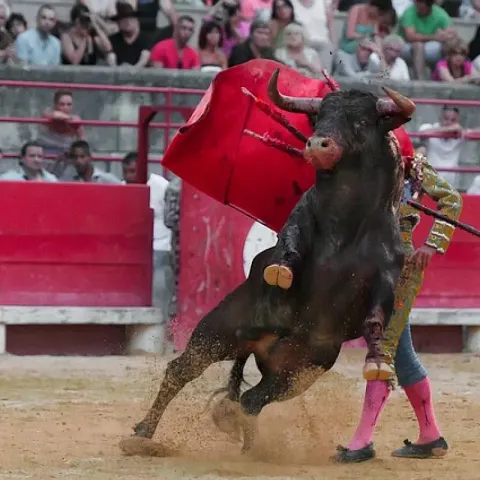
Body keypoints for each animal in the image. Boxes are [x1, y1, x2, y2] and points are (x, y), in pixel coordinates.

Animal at [119, 73, 416, 456]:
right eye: (318, 118)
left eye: (362, 122)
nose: (317, 144)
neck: (345, 224)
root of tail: (260, 346)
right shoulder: (298, 223)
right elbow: (288, 246)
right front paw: (280, 272)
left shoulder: (388, 273)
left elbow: (376, 315)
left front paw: (377, 358)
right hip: (217, 330)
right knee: (182, 371)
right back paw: (143, 433)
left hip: (297, 372)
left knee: (250, 401)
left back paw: (249, 448)